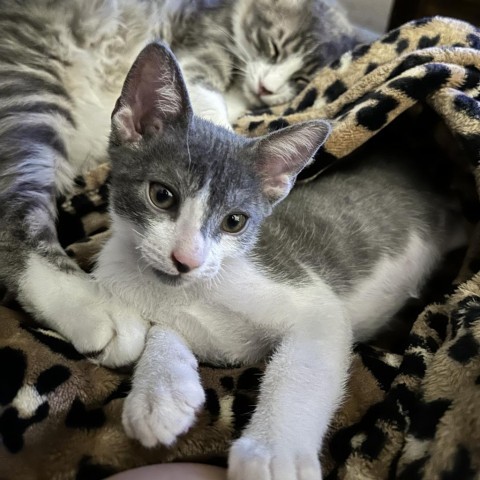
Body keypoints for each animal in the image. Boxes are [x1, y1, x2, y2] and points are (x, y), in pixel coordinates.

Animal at [0, 0, 360, 362]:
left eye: (301, 79)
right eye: (275, 46)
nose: (266, 88)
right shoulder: (201, 40)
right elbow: (205, 91)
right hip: (31, 78)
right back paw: (89, 305)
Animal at [94, 42, 464, 480]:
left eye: (235, 221)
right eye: (162, 195)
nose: (187, 259)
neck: (192, 291)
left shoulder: (310, 300)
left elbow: (302, 366)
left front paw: (273, 454)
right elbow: (163, 330)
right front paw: (160, 395)